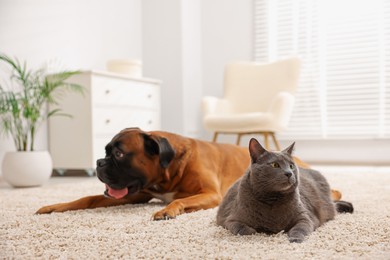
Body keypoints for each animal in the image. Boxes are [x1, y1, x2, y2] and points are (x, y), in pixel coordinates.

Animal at [36, 127, 342, 219]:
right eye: (106, 151)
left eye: (119, 154)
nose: (99, 162)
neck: (169, 169)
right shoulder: (134, 195)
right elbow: (86, 198)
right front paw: (54, 205)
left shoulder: (209, 194)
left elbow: (180, 200)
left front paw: (168, 210)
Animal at [216, 139, 354, 243]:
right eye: (275, 165)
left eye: (291, 166)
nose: (289, 173)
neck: (272, 199)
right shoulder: (230, 219)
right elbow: (242, 229)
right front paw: (254, 231)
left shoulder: (306, 217)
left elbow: (300, 228)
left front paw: (295, 238)